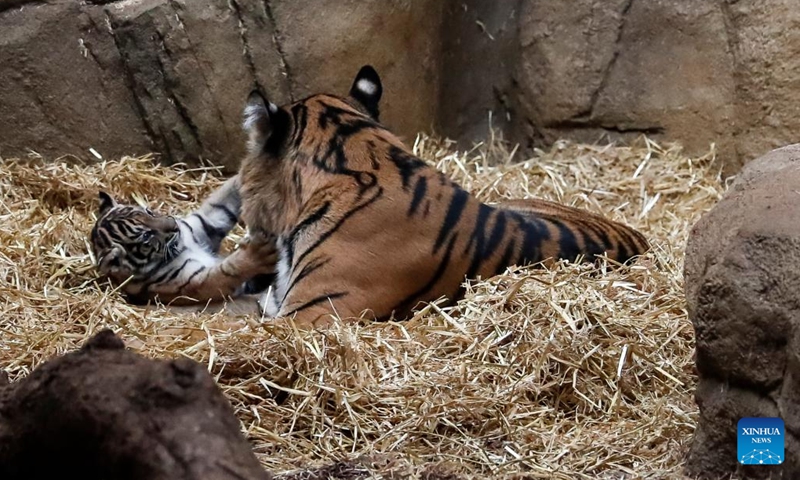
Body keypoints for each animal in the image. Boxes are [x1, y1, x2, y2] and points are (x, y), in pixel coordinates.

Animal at [90, 174, 277, 308]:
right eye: (146, 236)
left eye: (148, 212)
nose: (174, 224)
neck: (181, 245)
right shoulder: (196, 282)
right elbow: (227, 270)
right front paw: (257, 255)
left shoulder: (201, 224)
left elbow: (223, 202)